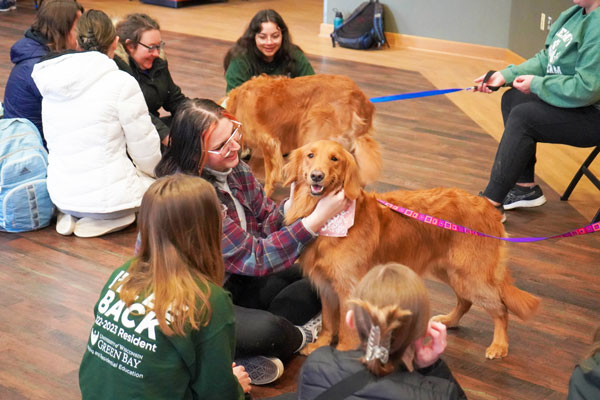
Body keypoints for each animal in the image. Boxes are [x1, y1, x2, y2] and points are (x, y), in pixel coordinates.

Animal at [284, 139, 540, 358]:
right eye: (310, 155)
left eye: (335, 159)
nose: (317, 176)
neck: (330, 219)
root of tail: (489, 209)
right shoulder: (326, 287)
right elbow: (328, 321)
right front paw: (320, 344)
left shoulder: (348, 287)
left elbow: (347, 329)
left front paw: (342, 351)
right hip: (451, 272)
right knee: (465, 301)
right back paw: (449, 320)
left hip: (472, 276)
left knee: (500, 309)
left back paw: (499, 345)